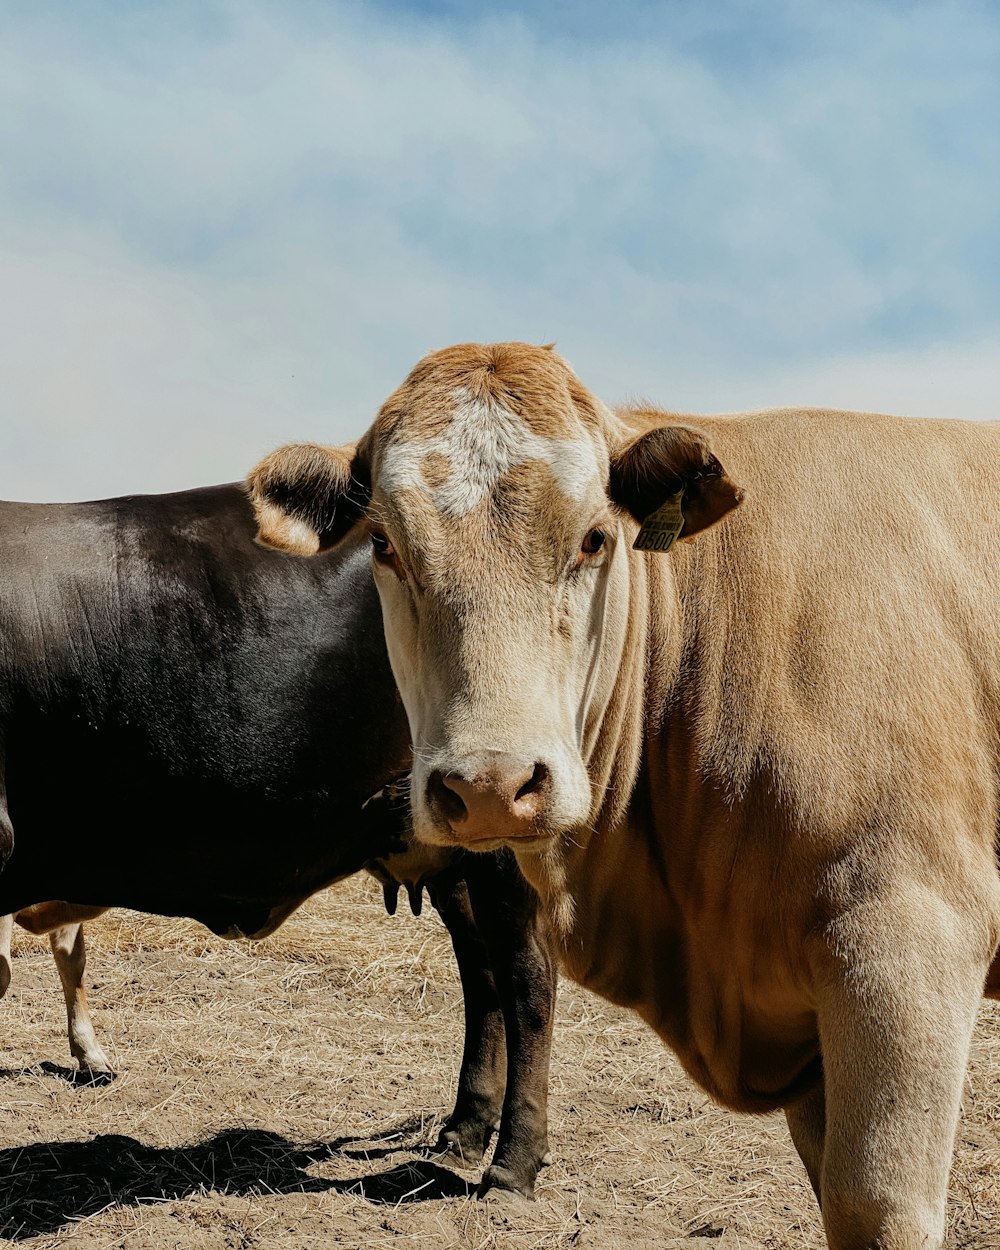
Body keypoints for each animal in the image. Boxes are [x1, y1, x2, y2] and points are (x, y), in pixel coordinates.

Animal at [0, 482, 555, 1195]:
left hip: (502, 830)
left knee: (526, 979)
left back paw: (512, 1165)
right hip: (450, 852)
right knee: (481, 973)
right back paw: (462, 1133)